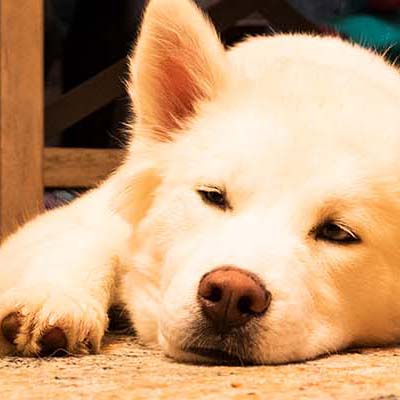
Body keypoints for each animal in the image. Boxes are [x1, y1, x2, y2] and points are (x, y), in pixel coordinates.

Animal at [0, 0, 400, 364]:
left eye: (337, 233)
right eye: (212, 196)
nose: (231, 295)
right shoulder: (94, 213)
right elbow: (83, 243)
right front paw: (54, 297)